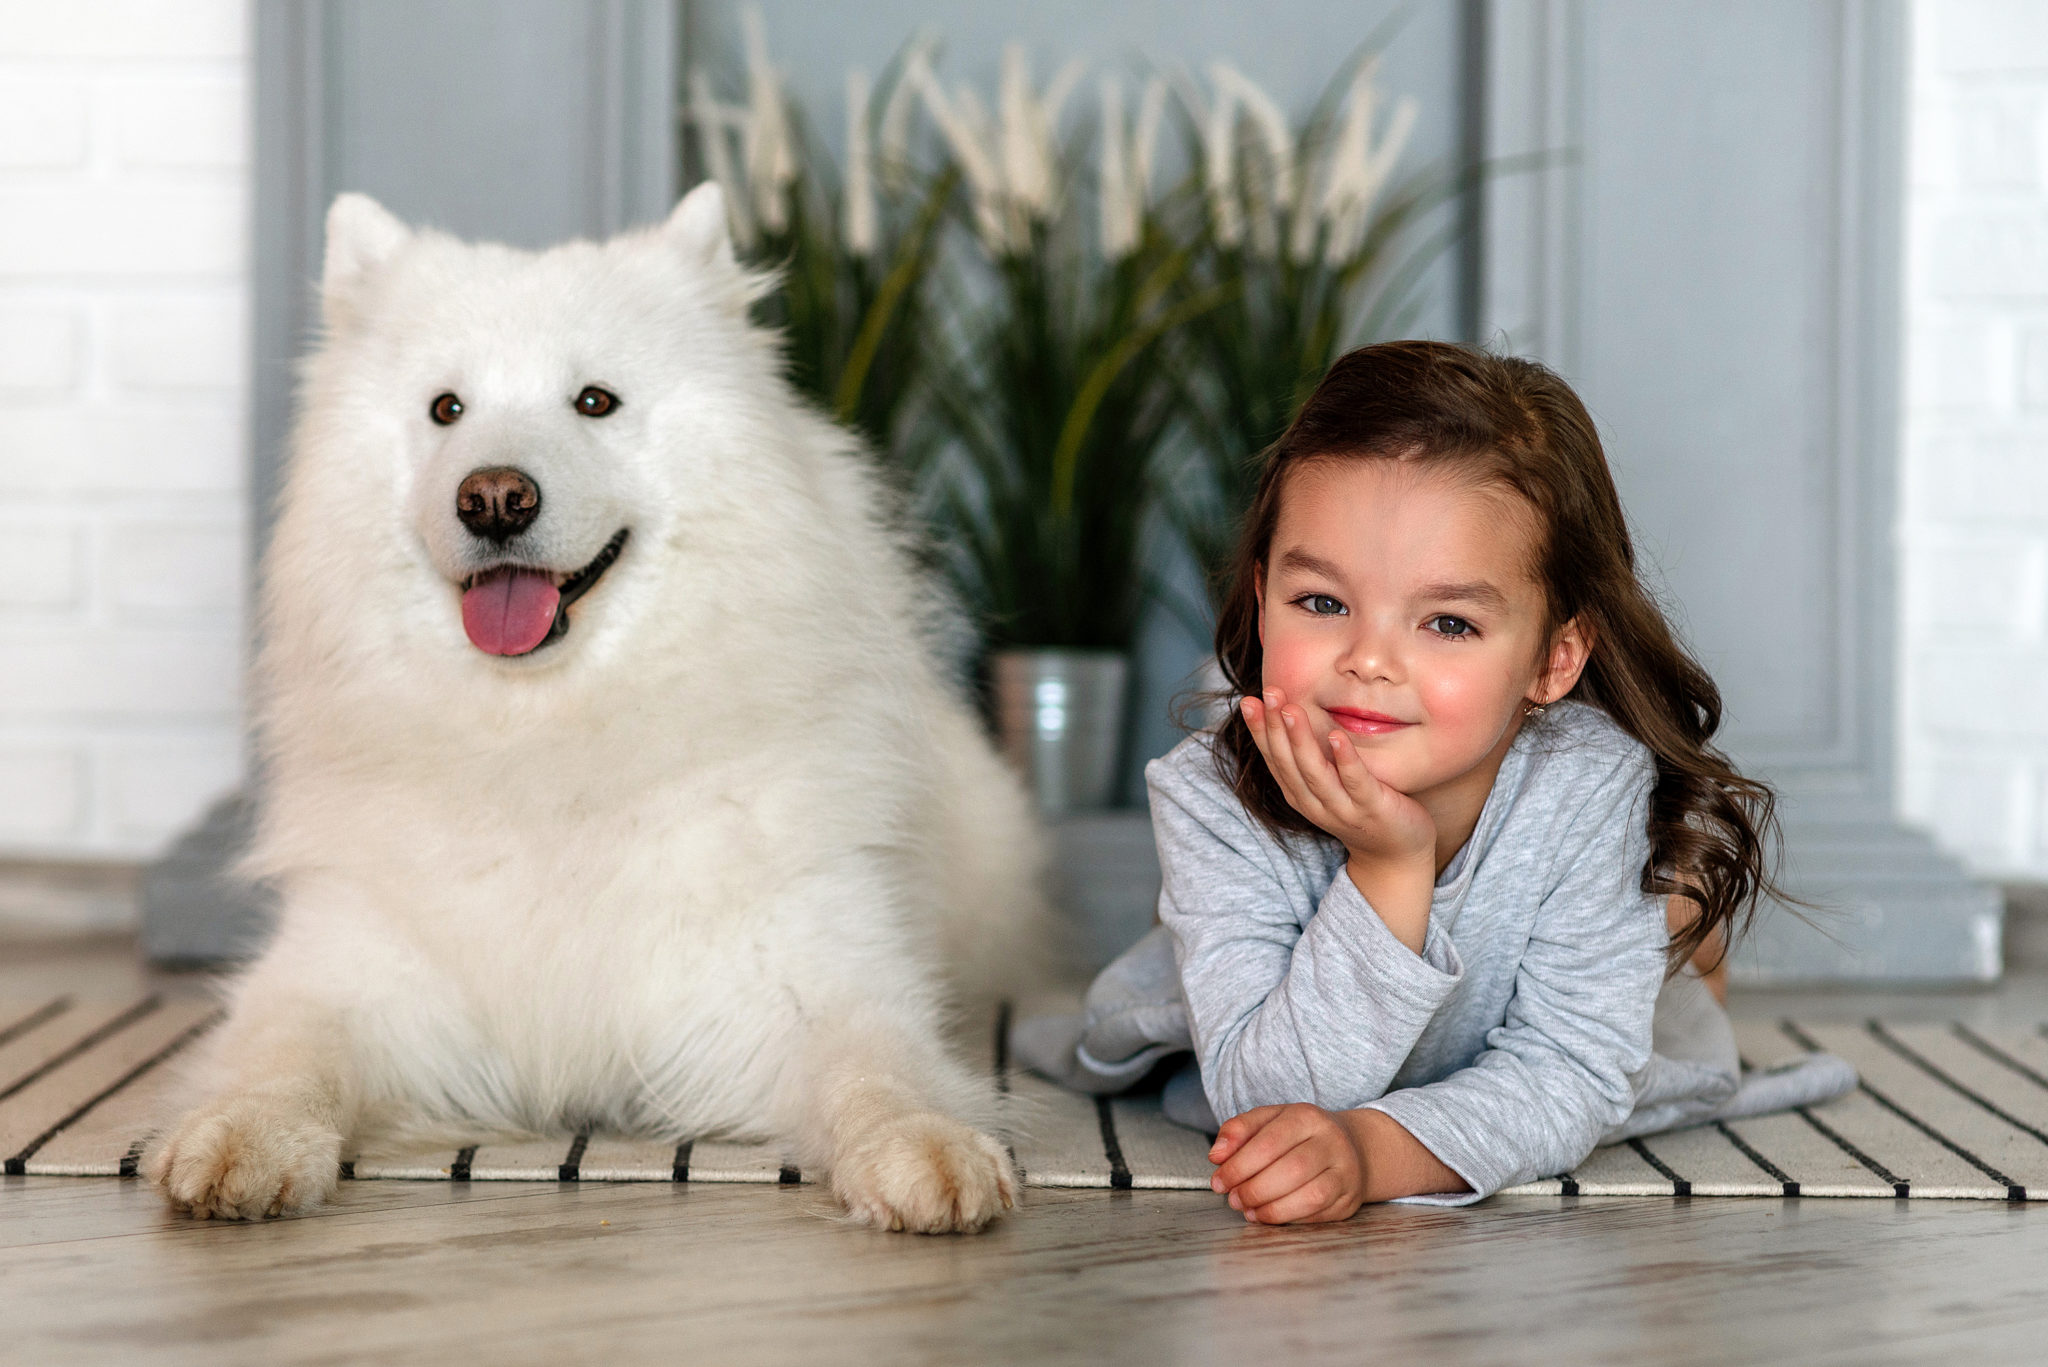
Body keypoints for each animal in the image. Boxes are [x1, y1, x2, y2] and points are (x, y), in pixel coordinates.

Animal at [140, 176, 1056, 1237]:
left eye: (595, 401)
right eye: (445, 408)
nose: (494, 498)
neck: (550, 742)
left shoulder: (813, 975)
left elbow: (881, 1071)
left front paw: (925, 1148)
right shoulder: (345, 972)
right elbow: (284, 1058)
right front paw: (242, 1138)